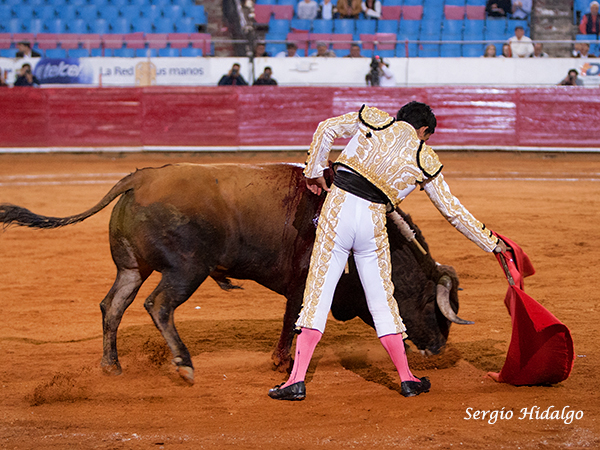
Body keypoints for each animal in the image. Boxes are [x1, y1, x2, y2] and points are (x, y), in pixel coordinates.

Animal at [0, 163, 468, 384]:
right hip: (186, 270)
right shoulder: (307, 283)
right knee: (159, 305)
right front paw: (283, 363)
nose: (440, 348)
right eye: (429, 303)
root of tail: (139, 179)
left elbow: (291, 318)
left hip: (132, 268)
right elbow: (296, 319)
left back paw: (111, 367)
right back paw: (184, 364)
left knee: (112, 306)